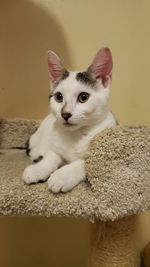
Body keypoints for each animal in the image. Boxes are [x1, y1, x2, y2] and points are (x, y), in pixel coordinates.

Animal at [22, 48, 116, 194]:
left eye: (83, 97)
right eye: (58, 97)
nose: (65, 114)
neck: (75, 134)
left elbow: (83, 163)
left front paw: (62, 176)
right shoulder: (54, 145)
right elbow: (52, 155)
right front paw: (39, 169)